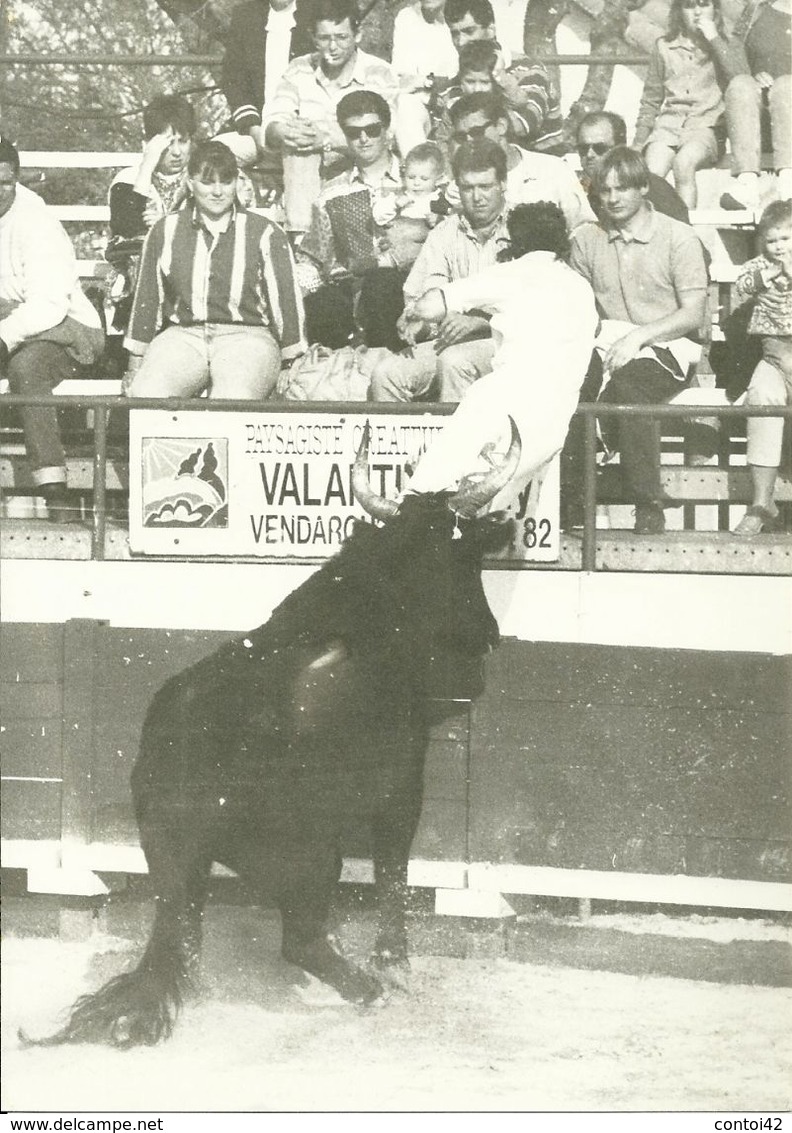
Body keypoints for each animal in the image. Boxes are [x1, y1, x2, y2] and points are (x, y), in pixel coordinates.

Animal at [23, 423, 521, 1042]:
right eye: (468, 561)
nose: (490, 635)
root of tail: (181, 765)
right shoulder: (402, 790)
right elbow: (393, 876)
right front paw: (394, 967)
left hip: (176, 860)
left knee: (185, 936)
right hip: (312, 854)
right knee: (300, 940)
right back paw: (368, 989)